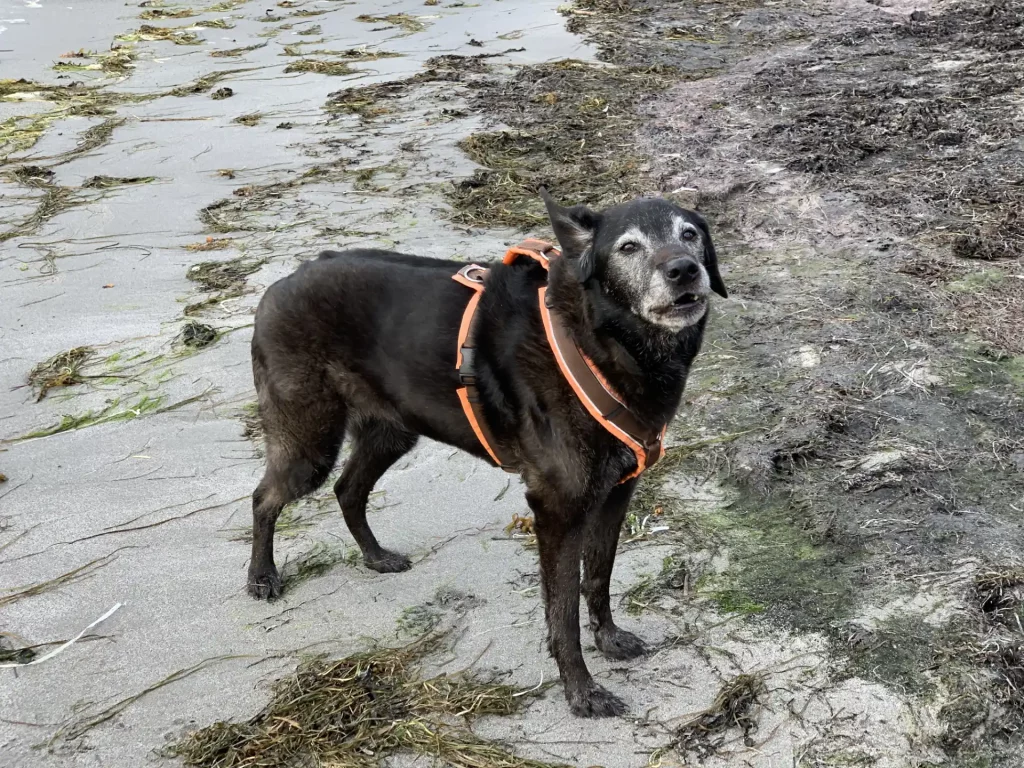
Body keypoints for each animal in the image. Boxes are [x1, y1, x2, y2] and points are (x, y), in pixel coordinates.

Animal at [245, 189, 729, 720]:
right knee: (265, 498)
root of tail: (278, 286)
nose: (684, 270)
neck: (597, 337)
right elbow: (563, 613)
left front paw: (609, 638)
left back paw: (375, 557)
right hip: (309, 442)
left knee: (347, 488)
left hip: (390, 433)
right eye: (628, 247)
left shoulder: (615, 495)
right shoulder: (558, 510)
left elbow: (598, 578)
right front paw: (581, 691)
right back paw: (262, 577)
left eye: (690, 234)